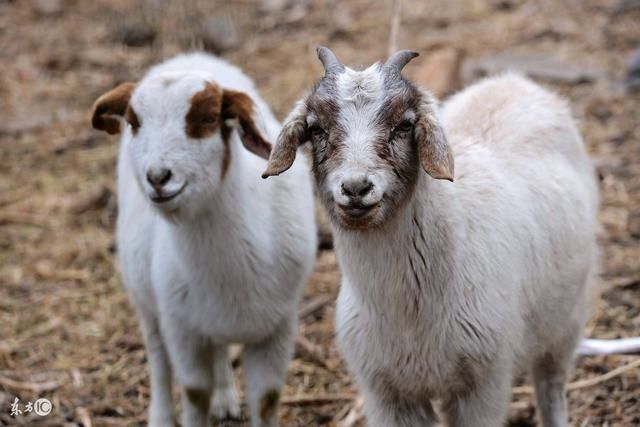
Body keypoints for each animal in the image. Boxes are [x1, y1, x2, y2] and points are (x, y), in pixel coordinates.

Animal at [90, 53, 318, 427]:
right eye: (134, 123)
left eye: (209, 118)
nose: (158, 177)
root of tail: (188, 56)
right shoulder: (181, 327)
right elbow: (195, 392)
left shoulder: (278, 327)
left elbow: (267, 399)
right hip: (145, 299)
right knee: (158, 359)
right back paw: (162, 416)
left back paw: (225, 398)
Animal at [264, 46, 600, 427]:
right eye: (316, 128)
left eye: (405, 125)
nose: (356, 188)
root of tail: (514, 81)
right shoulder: (388, 393)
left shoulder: (484, 384)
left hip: (567, 320)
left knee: (551, 385)